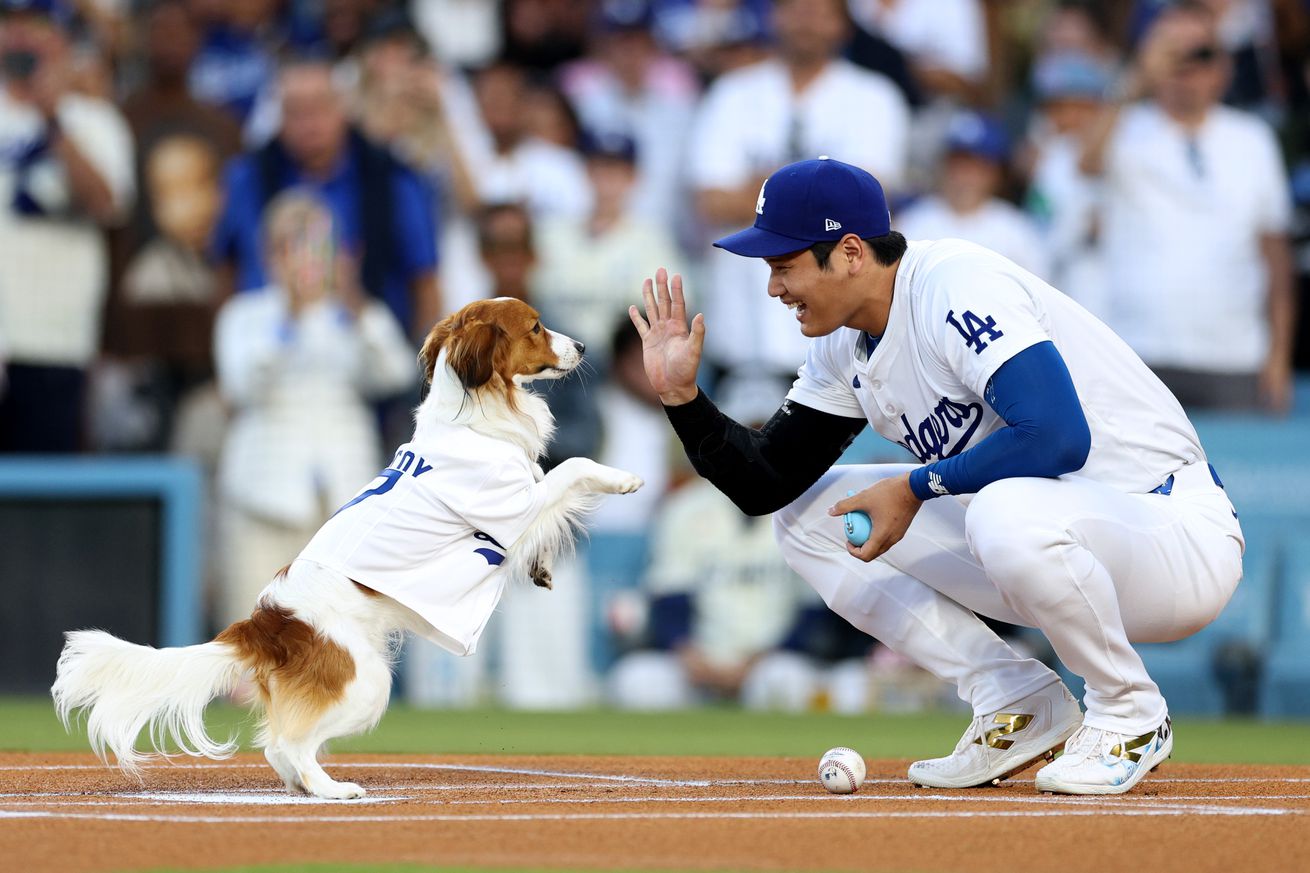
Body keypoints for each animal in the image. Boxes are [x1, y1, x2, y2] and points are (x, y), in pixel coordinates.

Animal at [52, 297, 644, 796]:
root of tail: (262, 623)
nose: (584, 346)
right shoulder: (510, 507)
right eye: (537, 327)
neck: (472, 418)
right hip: (367, 682)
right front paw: (623, 479)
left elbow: (548, 485)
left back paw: (307, 787)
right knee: (287, 743)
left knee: (279, 749)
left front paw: (542, 566)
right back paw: (332, 790)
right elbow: (570, 468)